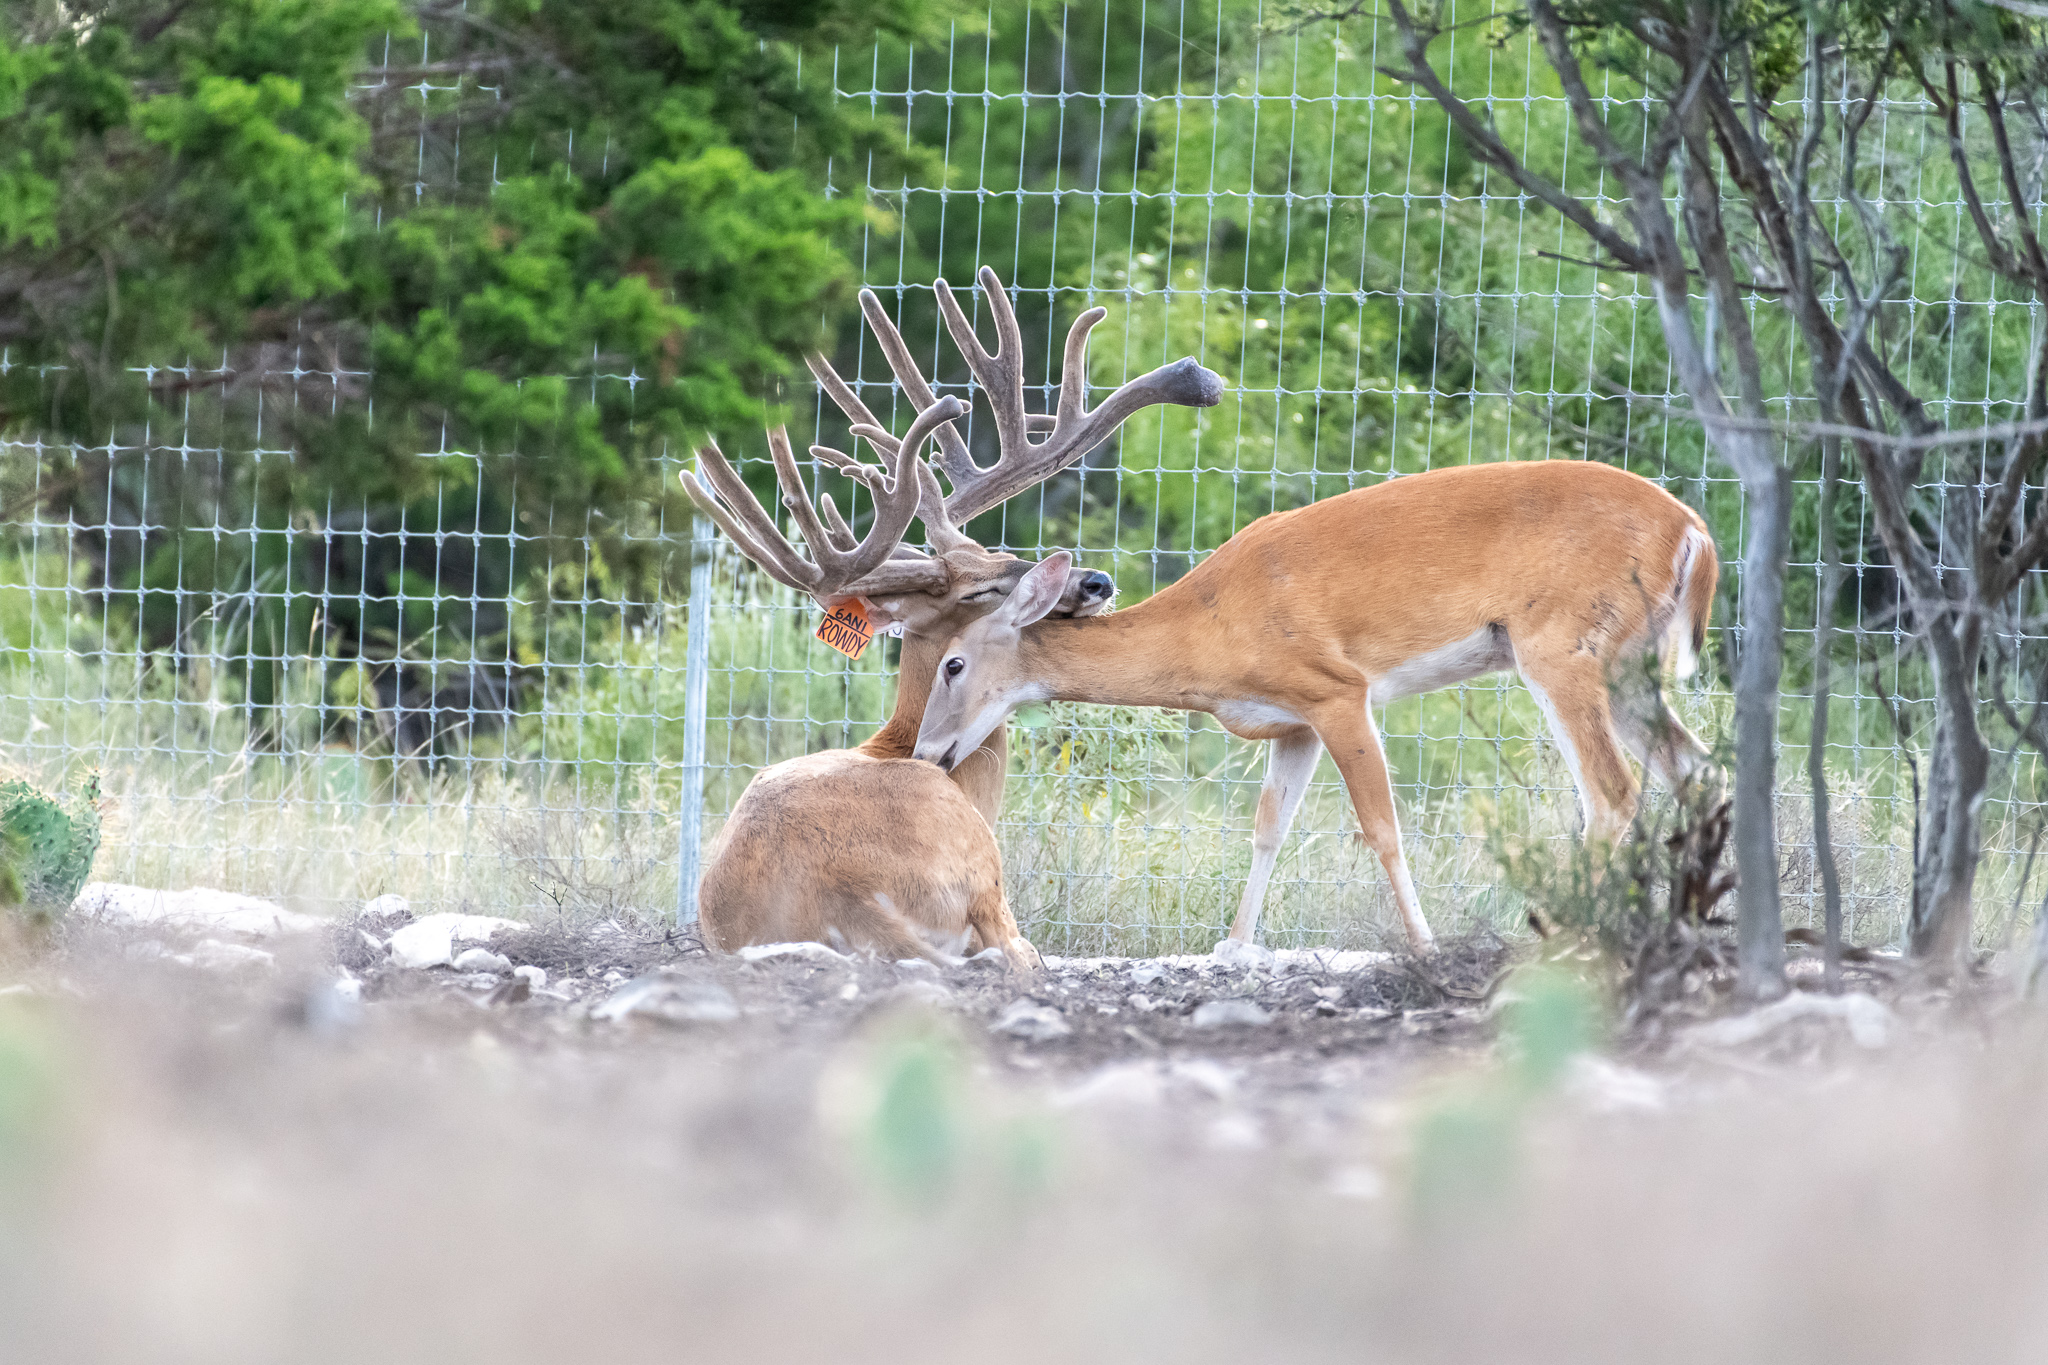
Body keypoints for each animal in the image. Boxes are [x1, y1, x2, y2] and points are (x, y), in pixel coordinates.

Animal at [905, 458, 1720, 949]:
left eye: (952, 663)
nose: (926, 754)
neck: (1208, 629)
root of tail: (1696, 532)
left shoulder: (1337, 688)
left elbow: (1382, 828)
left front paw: (1424, 944)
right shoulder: (1290, 722)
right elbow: (1268, 829)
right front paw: (1234, 946)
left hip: (1561, 645)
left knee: (1612, 792)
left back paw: (1559, 938)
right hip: (1627, 666)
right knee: (1698, 770)